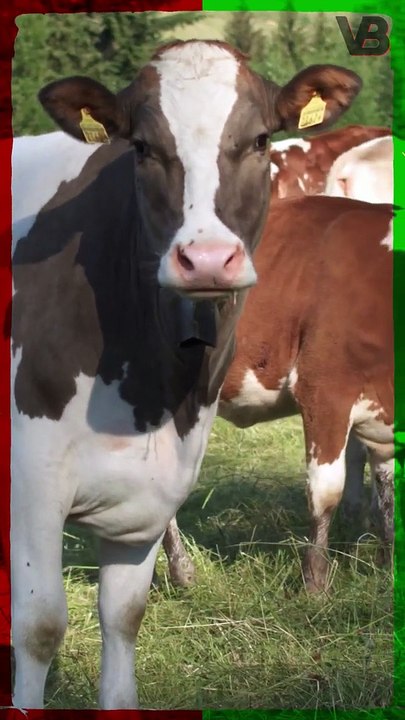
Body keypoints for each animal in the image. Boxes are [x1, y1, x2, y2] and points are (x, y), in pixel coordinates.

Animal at [11, 40, 362, 709]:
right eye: (142, 147)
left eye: (260, 140)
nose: (206, 259)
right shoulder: (31, 486)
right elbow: (40, 627)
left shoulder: (151, 491)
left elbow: (124, 619)